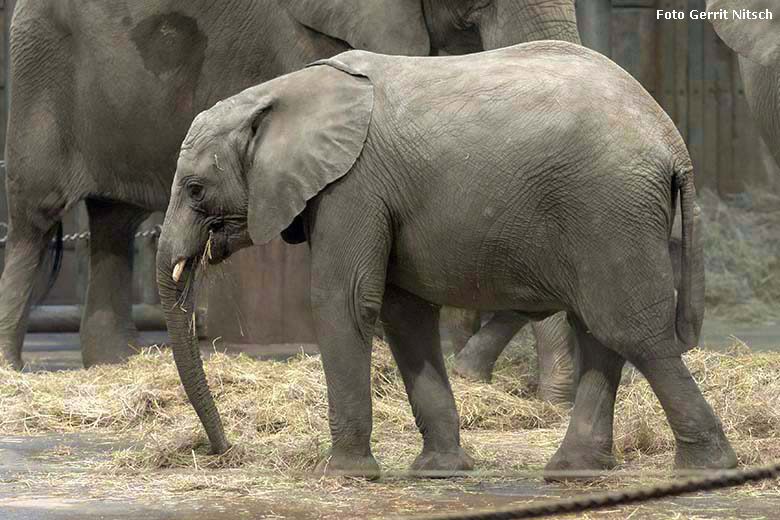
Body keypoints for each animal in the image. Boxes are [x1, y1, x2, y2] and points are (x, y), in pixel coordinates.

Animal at [0, 0, 576, 370]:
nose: (553, 398)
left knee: (114, 219)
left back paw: (114, 365)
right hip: (41, 67)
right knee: (36, 218)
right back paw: (14, 370)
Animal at [158, 42, 736, 478]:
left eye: (195, 189)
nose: (221, 450)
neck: (279, 93)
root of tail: (670, 137)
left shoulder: (353, 185)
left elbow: (345, 301)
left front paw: (343, 474)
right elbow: (404, 314)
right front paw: (439, 472)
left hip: (609, 208)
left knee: (632, 330)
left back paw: (710, 467)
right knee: (599, 329)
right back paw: (574, 471)